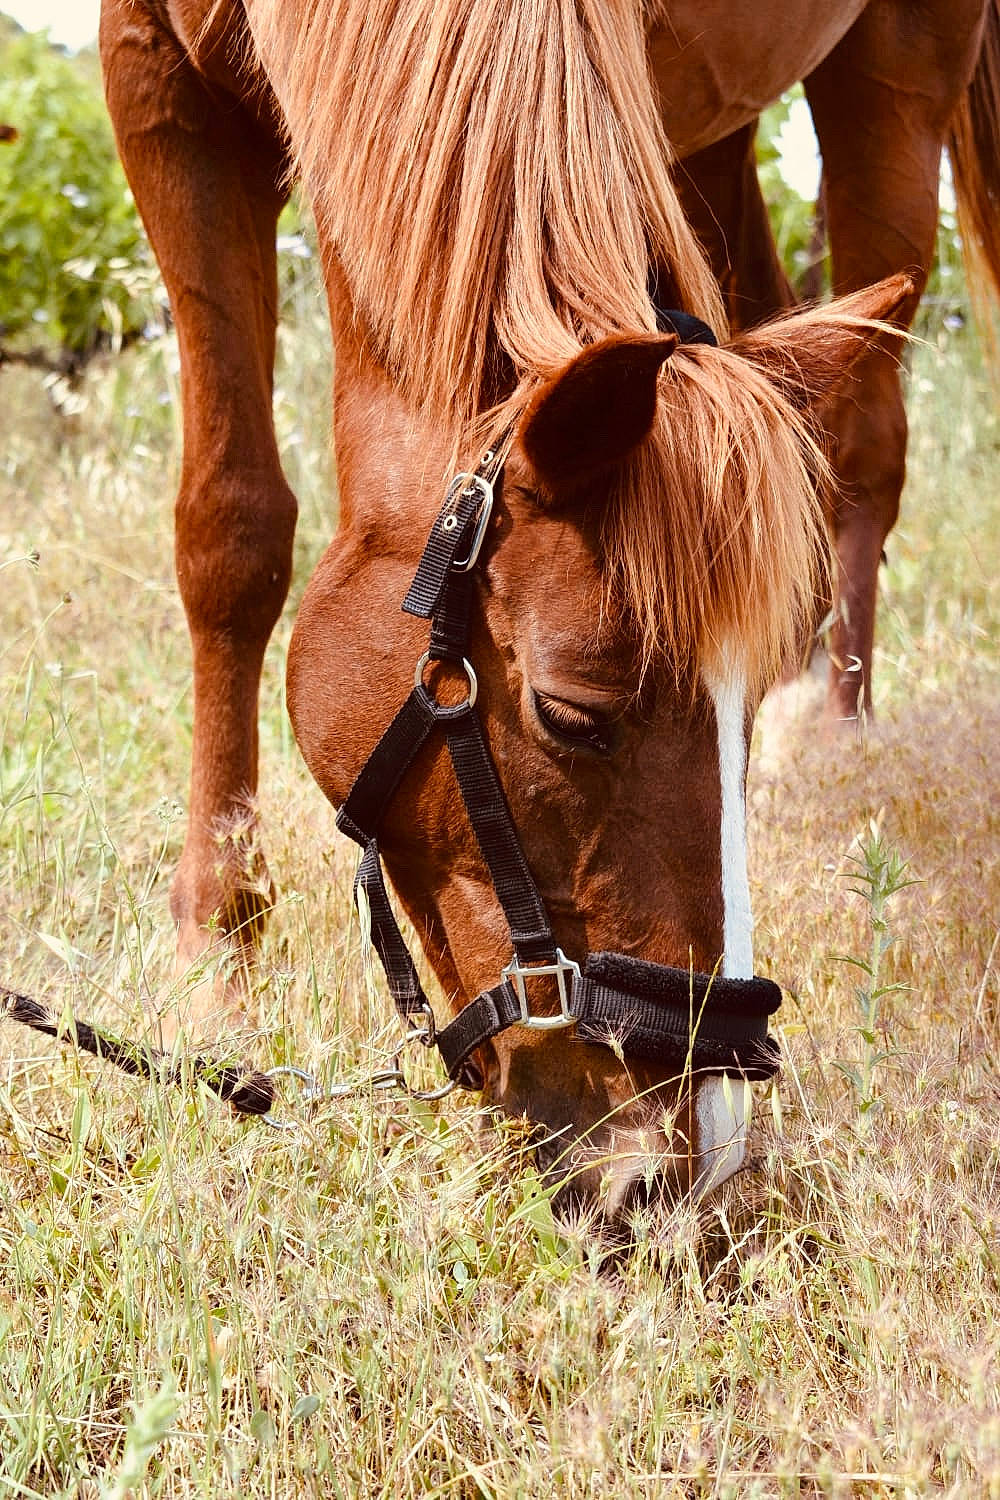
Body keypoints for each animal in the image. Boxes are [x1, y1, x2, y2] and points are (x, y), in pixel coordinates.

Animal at [98, 0, 959, 1220]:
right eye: (571, 714)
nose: (690, 1164)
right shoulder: (159, 85)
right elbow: (231, 530)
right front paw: (219, 967)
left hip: (901, 65)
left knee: (865, 440)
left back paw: (835, 728)